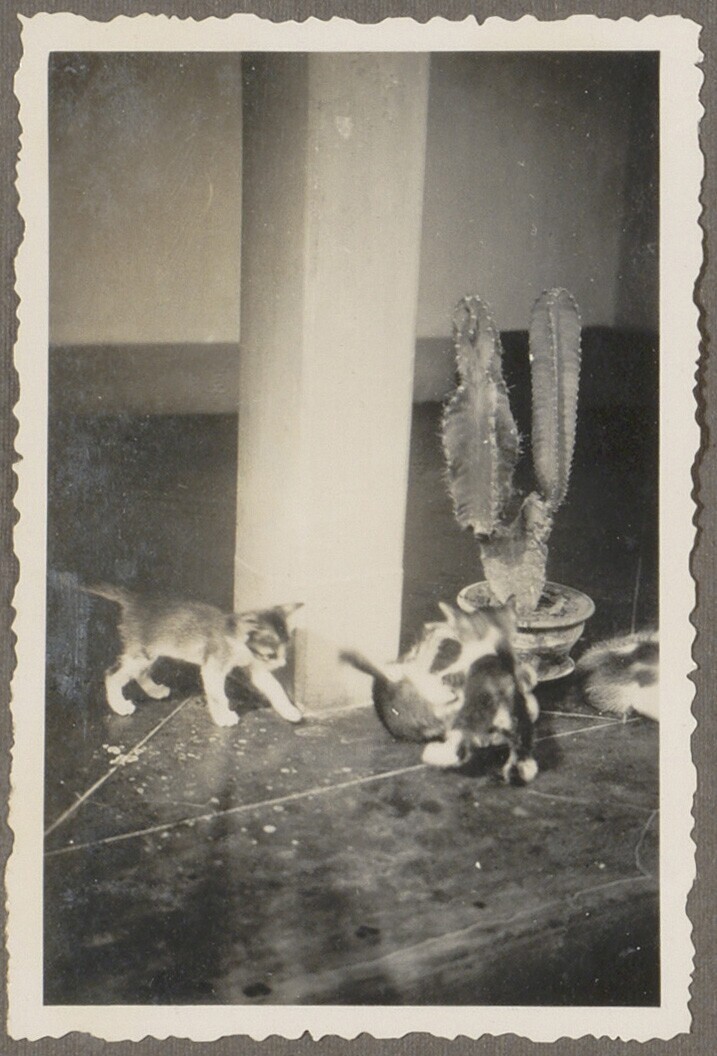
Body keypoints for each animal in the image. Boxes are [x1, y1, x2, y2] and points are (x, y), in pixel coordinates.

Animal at [83, 584, 303, 727]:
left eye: (285, 651)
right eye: (271, 654)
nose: (283, 664)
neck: (234, 637)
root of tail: (135, 600)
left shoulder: (255, 666)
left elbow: (275, 688)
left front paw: (289, 710)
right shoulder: (213, 667)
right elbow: (217, 695)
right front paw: (223, 717)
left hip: (148, 653)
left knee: (139, 673)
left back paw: (154, 690)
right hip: (142, 653)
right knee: (112, 675)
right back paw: (119, 705)